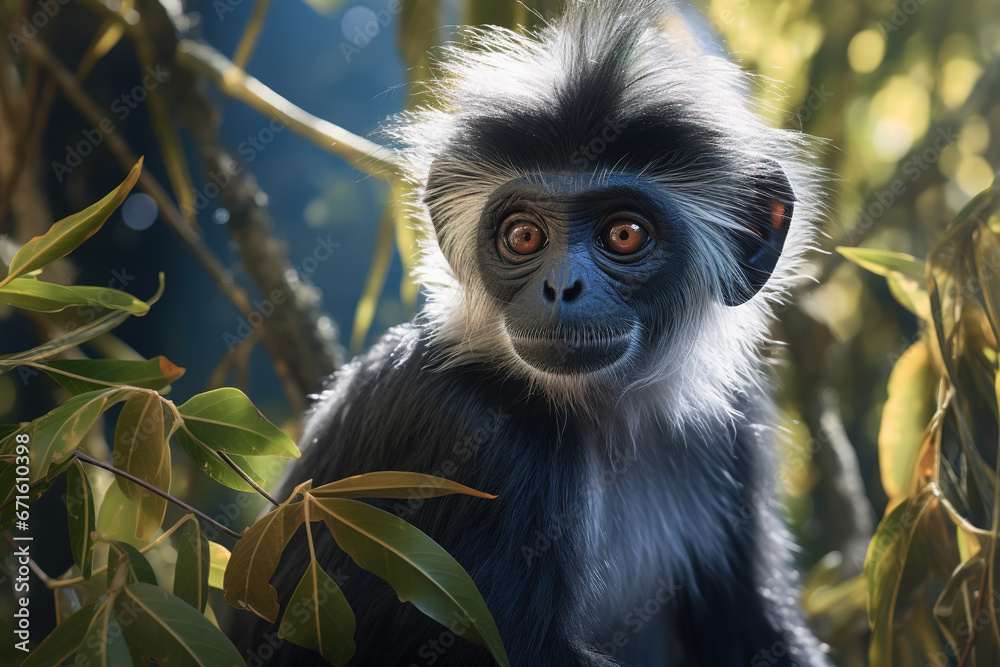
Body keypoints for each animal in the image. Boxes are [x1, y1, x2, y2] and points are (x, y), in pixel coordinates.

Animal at [224, 1, 833, 665]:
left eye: (625, 235)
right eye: (524, 236)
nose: (561, 287)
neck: (605, 418)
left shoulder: (735, 428)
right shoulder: (475, 435)